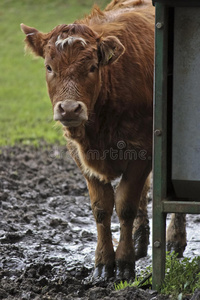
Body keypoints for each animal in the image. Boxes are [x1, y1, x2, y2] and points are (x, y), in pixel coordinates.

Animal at [20, 0, 186, 282]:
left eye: (92, 67)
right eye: (49, 67)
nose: (69, 109)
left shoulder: (143, 151)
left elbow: (125, 205)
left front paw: (125, 263)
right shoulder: (81, 156)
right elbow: (102, 208)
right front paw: (103, 263)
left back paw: (175, 240)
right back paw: (141, 239)